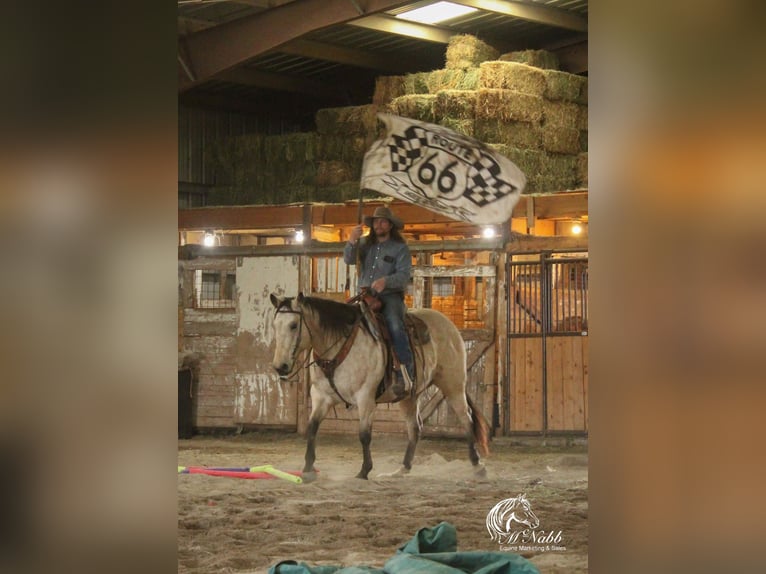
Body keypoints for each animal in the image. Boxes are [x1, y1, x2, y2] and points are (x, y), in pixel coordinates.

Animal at [268, 294, 492, 484]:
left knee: (466, 419)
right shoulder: (321, 397)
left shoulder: (365, 398)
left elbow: (364, 435)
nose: (280, 366)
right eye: (275, 325)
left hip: (453, 385)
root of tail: (448, 324)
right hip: (409, 396)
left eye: (293, 325)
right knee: (415, 427)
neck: (340, 348)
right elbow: (312, 428)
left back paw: (478, 466)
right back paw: (402, 469)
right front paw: (307, 468)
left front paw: (364, 470)